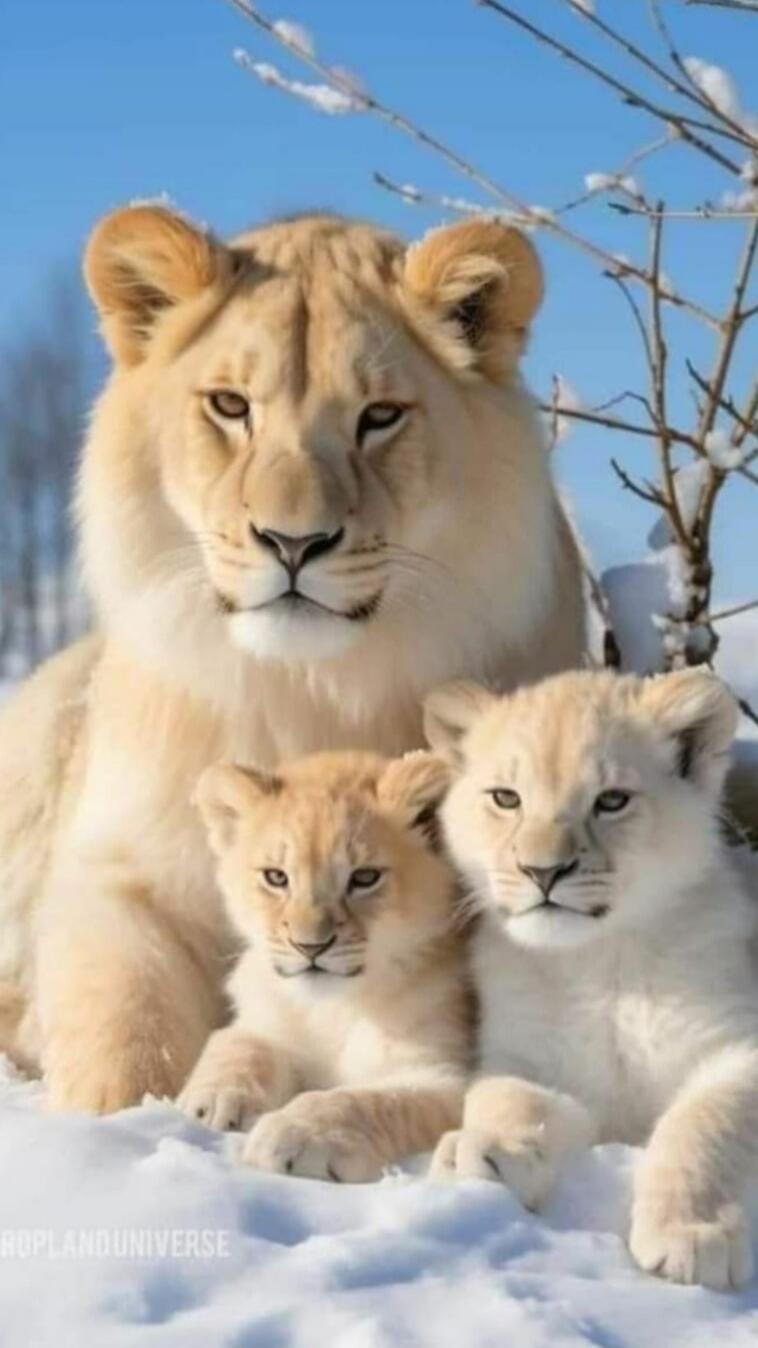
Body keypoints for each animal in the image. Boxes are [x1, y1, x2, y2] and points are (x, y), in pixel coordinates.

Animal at [0, 205, 584, 1112]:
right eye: (230, 406)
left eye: (380, 416)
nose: (293, 542)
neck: (309, 685)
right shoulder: (120, 875)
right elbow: (125, 1042)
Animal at [178, 749, 468, 1180]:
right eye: (276, 877)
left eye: (364, 877)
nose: (309, 946)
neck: (329, 1009)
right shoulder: (266, 1020)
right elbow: (236, 1042)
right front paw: (210, 1102)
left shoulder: (445, 1076)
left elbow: (365, 1101)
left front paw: (291, 1135)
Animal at [424, 668, 758, 1289]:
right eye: (506, 798)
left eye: (612, 800)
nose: (543, 872)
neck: (596, 961)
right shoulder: (524, 1058)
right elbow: (507, 1099)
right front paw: (482, 1153)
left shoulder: (736, 1047)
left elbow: (702, 1126)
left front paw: (689, 1236)